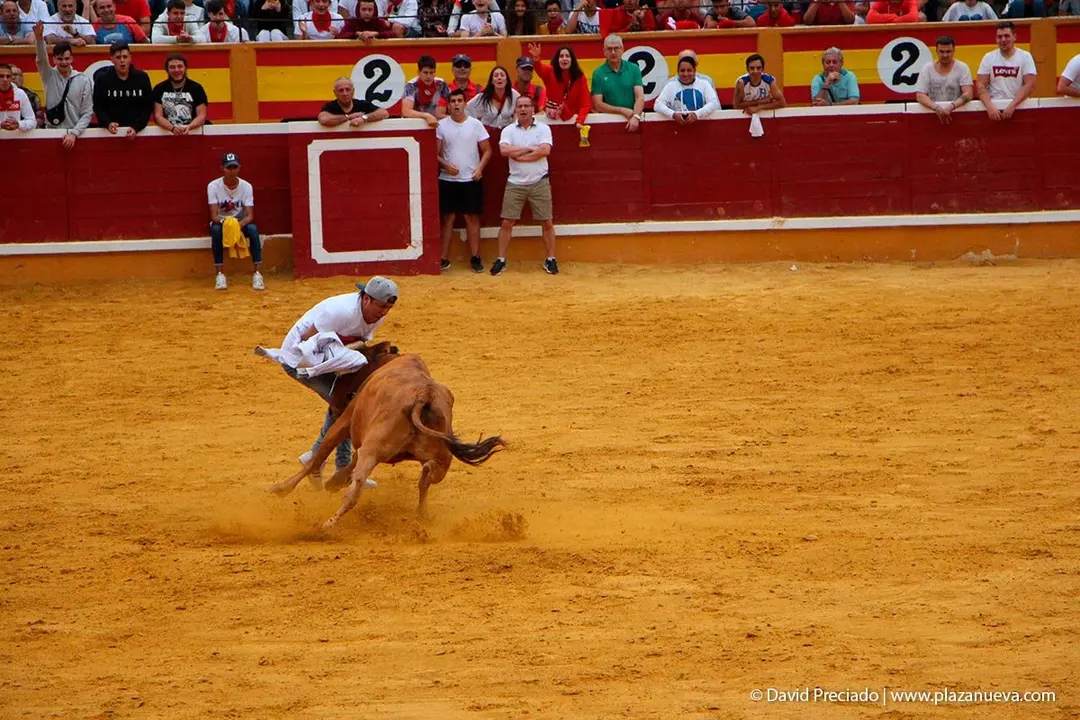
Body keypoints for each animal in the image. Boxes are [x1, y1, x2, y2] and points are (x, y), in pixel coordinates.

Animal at [270, 350, 506, 529]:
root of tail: (424, 396)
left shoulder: (346, 419)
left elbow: (319, 455)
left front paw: (282, 488)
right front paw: (333, 482)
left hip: (372, 449)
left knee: (354, 491)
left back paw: (326, 525)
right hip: (441, 459)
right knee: (427, 477)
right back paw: (422, 511)